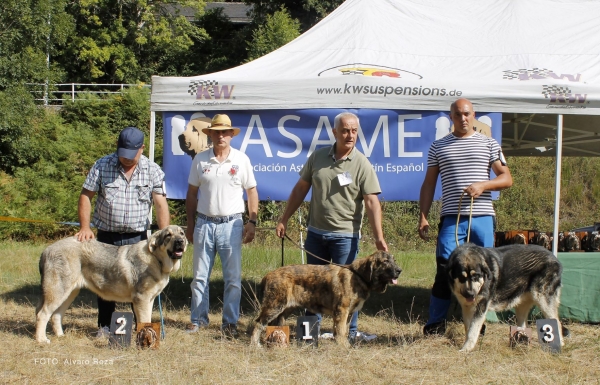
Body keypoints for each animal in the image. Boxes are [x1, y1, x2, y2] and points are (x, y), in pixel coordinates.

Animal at [35, 225, 185, 342]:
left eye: (182, 233)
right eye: (168, 235)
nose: (180, 241)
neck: (156, 259)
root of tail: (46, 251)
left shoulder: (149, 299)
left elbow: (145, 320)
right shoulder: (142, 299)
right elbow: (144, 320)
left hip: (69, 293)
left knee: (56, 315)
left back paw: (60, 336)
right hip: (57, 292)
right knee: (42, 314)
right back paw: (41, 339)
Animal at [251, 250, 400, 346]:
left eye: (394, 260)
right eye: (385, 261)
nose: (399, 270)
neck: (358, 276)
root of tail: (269, 274)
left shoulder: (348, 313)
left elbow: (342, 329)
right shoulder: (342, 310)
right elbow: (341, 330)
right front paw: (343, 345)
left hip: (286, 308)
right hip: (274, 306)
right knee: (259, 323)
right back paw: (255, 344)